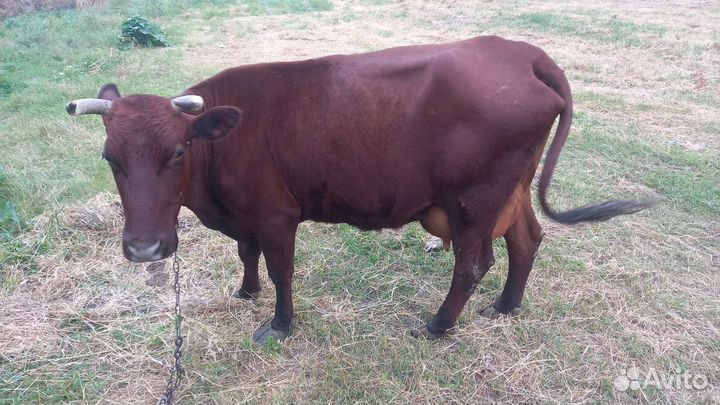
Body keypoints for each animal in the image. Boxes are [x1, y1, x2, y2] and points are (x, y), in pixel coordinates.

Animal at [66, 36, 652, 344]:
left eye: (178, 153)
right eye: (110, 158)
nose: (145, 249)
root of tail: (521, 52)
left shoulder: (275, 214)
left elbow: (280, 270)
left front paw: (279, 325)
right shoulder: (246, 216)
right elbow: (246, 254)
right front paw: (246, 292)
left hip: (473, 200)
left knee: (473, 263)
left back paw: (438, 325)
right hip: (510, 192)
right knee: (526, 241)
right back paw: (506, 307)